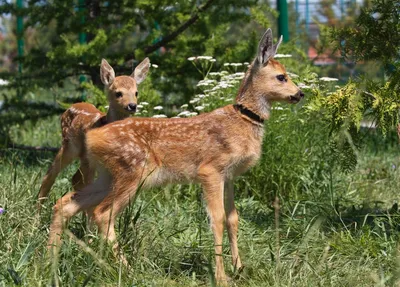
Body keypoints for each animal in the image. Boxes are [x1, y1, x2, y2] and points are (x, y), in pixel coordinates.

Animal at [38, 56, 150, 209]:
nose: (132, 106)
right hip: (69, 147)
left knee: (75, 179)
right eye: (118, 93)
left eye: (136, 92)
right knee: (52, 174)